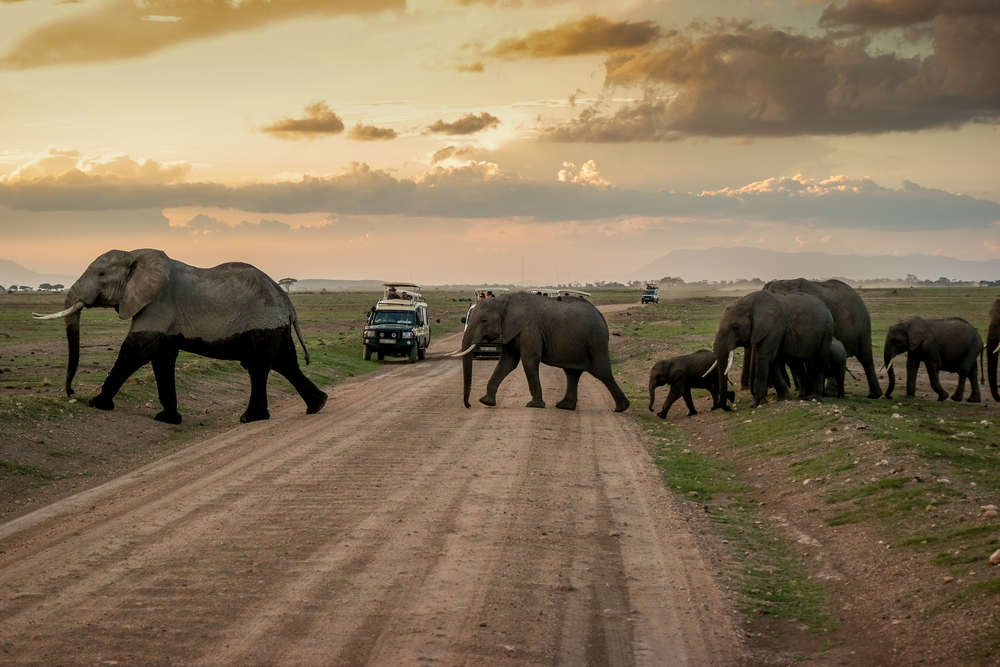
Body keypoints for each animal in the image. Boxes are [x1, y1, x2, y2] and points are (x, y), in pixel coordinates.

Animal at [34, 249, 328, 424]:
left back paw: (250, 418)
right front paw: (167, 419)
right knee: (285, 363)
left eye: (102, 274)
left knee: (258, 366)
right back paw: (317, 405)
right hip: (274, 326)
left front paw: (97, 404)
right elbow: (161, 356)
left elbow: (136, 349)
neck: (136, 255)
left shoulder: (158, 304)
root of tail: (287, 301)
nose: (71, 393)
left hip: (262, 322)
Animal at [453, 292, 630, 412]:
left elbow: (529, 360)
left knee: (602, 373)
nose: (469, 405)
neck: (504, 301)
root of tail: (602, 317)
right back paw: (564, 406)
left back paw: (621, 408)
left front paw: (534, 405)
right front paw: (486, 402)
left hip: (595, 341)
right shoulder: (511, 329)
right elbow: (507, 362)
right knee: (572, 373)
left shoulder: (530, 329)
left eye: (484, 321)